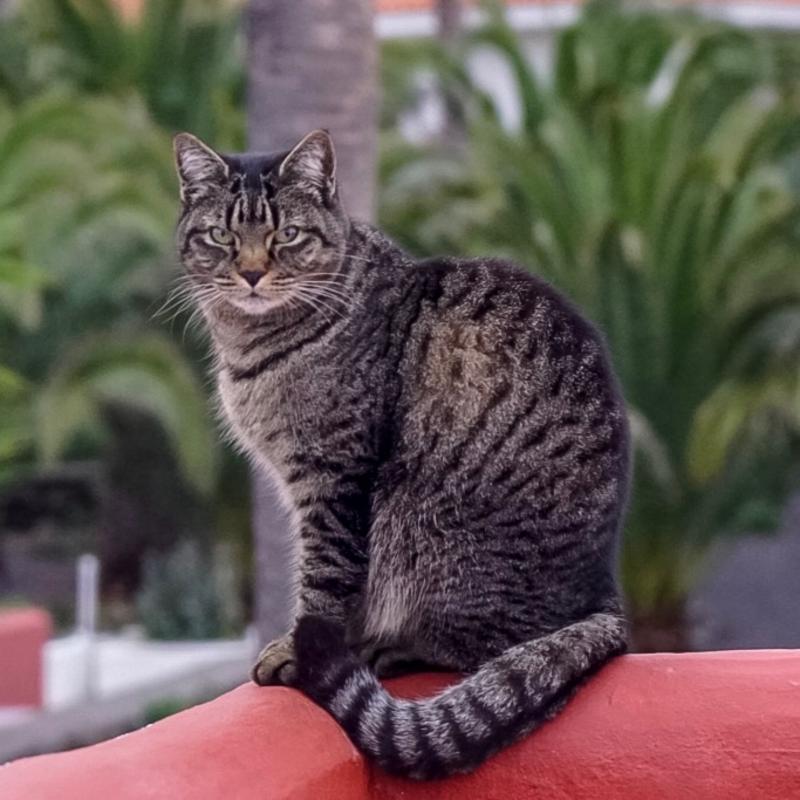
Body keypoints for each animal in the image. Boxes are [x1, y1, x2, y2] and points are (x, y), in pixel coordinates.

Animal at [175, 131, 632, 780]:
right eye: (221, 236)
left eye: (287, 235)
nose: (252, 273)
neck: (251, 344)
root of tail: (603, 592)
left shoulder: (335, 476)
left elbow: (324, 578)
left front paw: (297, 651)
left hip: (414, 518)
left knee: (492, 644)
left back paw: (395, 648)